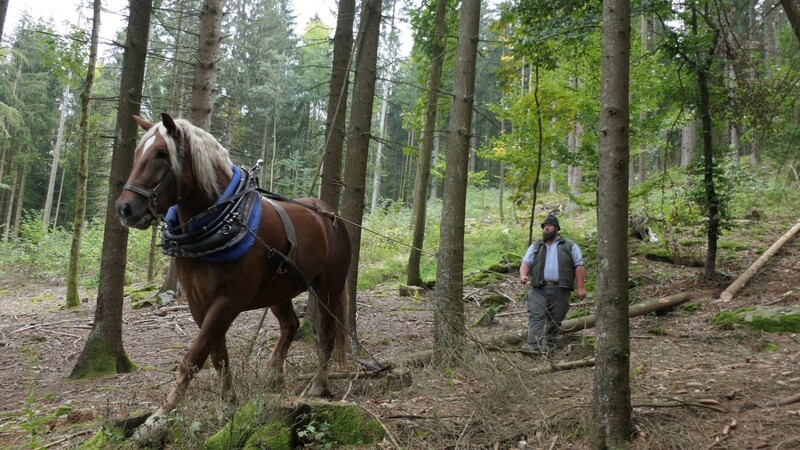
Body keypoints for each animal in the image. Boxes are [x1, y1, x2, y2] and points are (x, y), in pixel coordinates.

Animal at [115, 112, 350, 440]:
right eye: (138, 153)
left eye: (162, 154)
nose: (125, 208)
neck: (221, 222)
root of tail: (330, 214)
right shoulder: (198, 304)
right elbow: (217, 355)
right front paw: (228, 406)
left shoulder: (227, 303)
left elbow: (193, 358)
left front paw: (157, 419)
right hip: (279, 289)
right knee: (290, 325)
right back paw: (274, 374)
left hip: (328, 287)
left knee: (327, 335)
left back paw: (318, 383)